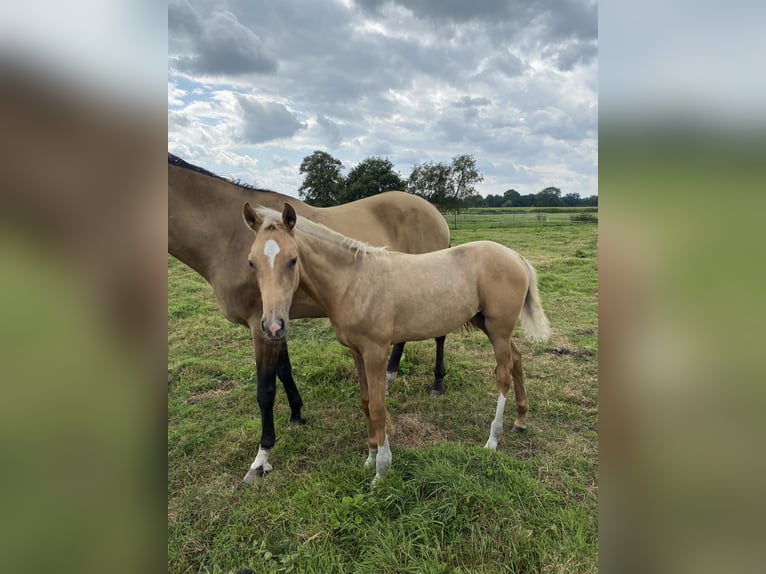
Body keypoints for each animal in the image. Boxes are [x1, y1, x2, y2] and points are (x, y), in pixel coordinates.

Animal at [170, 153, 450, 482]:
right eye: (251, 263)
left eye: (293, 261)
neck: (224, 234)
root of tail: (434, 210)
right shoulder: (273, 323)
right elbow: (284, 370)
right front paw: (296, 413)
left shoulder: (260, 326)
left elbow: (265, 390)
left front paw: (261, 458)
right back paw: (391, 376)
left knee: (440, 334)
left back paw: (437, 383)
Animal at [243, 206, 548, 486]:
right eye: (251, 263)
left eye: (293, 260)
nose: (273, 326)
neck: (352, 282)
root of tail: (515, 257)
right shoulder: (357, 352)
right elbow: (366, 402)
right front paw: (369, 458)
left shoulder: (376, 351)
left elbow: (379, 407)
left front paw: (382, 469)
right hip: (487, 324)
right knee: (517, 359)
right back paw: (520, 420)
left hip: (498, 329)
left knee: (503, 375)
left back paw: (493, 440)